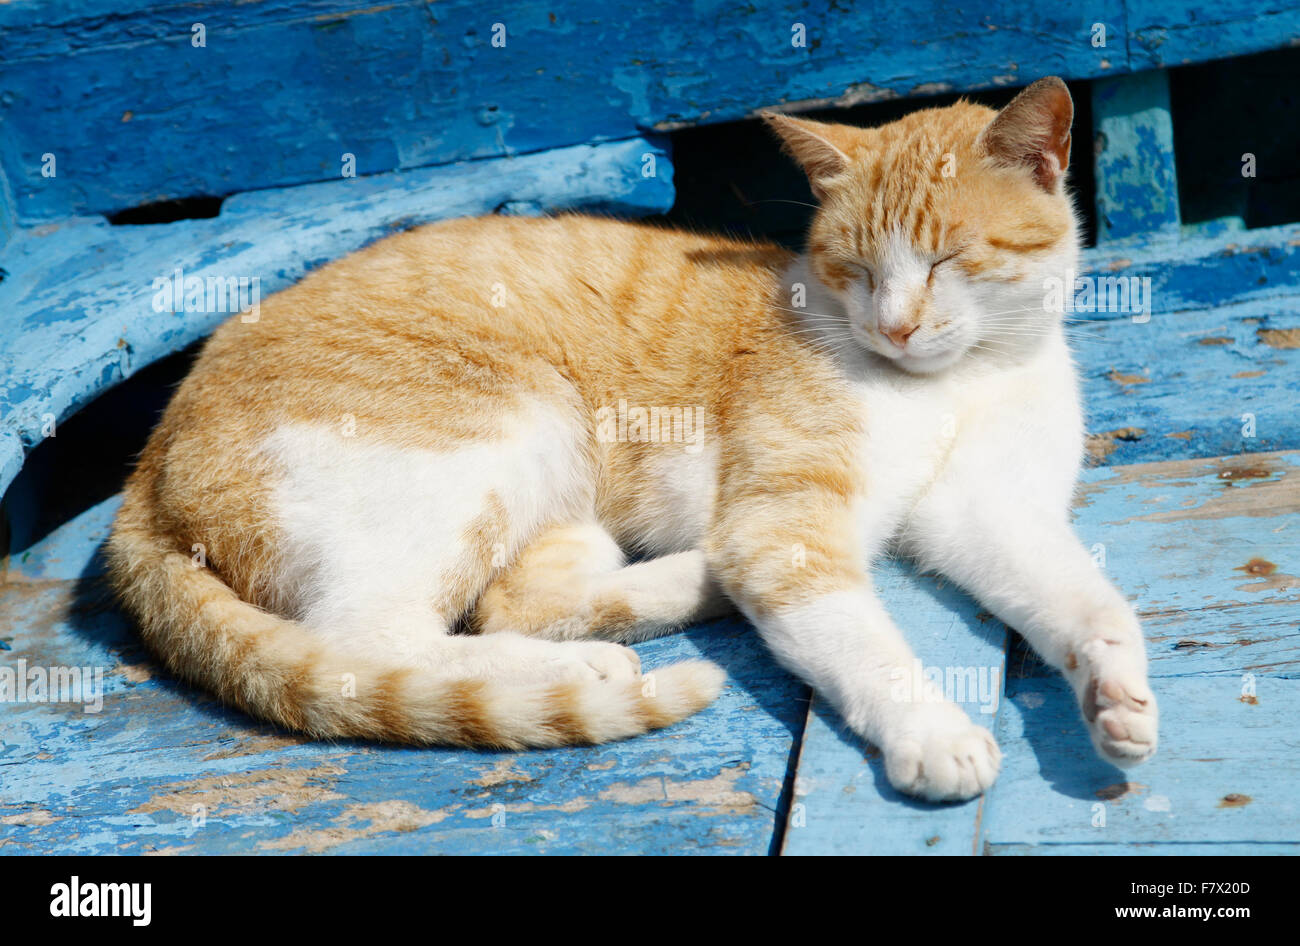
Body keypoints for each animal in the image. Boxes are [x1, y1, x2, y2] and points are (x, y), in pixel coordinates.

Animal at [104, 77, 1159, 800]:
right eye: (854, 270)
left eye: (945, 260)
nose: (894, 328)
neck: (961, 382)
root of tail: (140, 476)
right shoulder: (783, 529)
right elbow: (861, 641)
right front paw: (931, 731)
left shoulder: (990, 510)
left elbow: (1082, 598)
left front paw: (1114, 693)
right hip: (501, 423)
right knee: (374, 642)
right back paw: (584, 668)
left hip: (558, 508)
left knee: (517, 601)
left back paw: (684, 590)